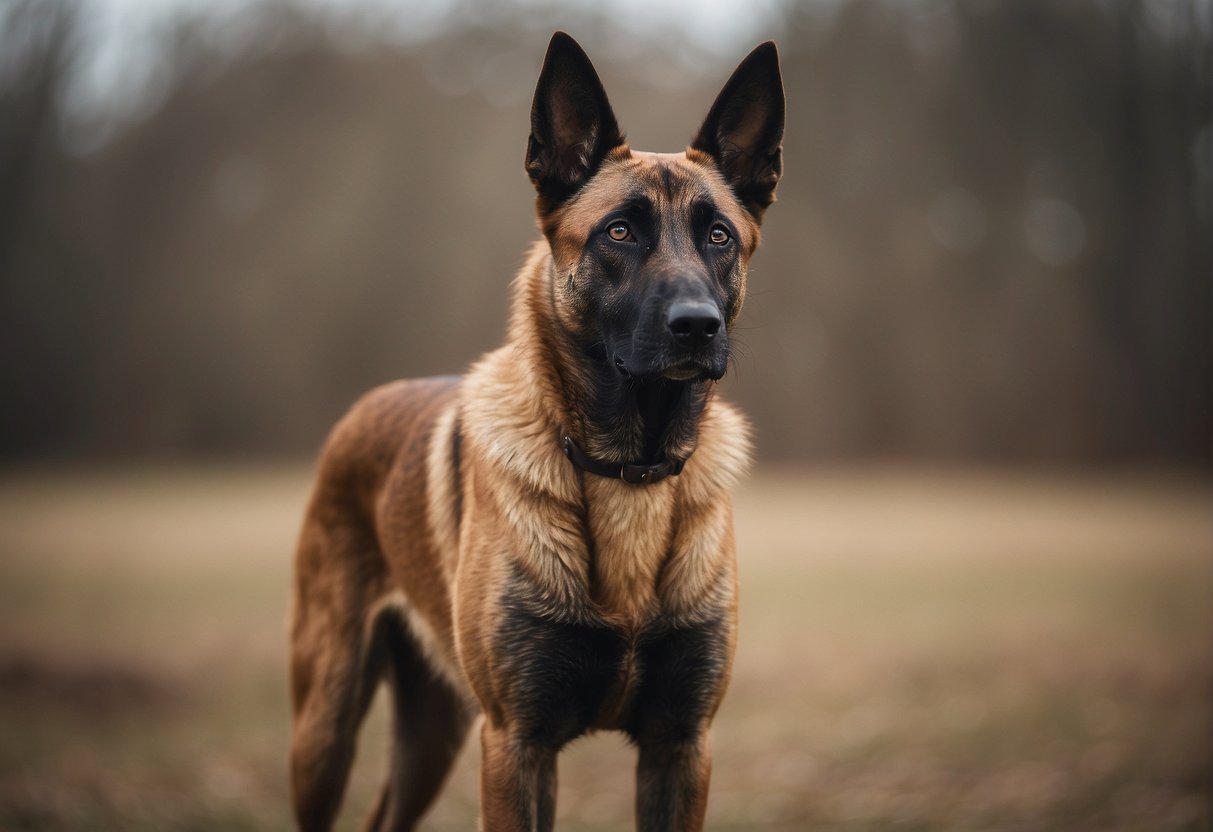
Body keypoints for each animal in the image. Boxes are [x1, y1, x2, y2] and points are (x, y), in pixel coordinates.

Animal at [292, 29, 786, 829]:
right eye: (619, 232)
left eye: (717, 235)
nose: (697, 327)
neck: (628, 470)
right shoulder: (516, 744)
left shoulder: (680, 747)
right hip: (326, 725)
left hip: (431, 733)